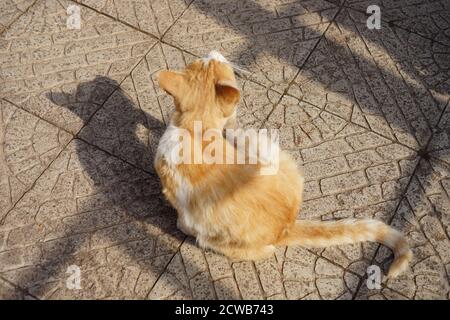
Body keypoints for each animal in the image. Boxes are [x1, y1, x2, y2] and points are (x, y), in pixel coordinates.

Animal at [155, 50, 412, 278]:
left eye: (210, 60)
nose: (213, 52)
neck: (197, 130)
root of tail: (287, 226)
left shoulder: (183, 205)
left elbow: (183, 219)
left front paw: (179, 225)